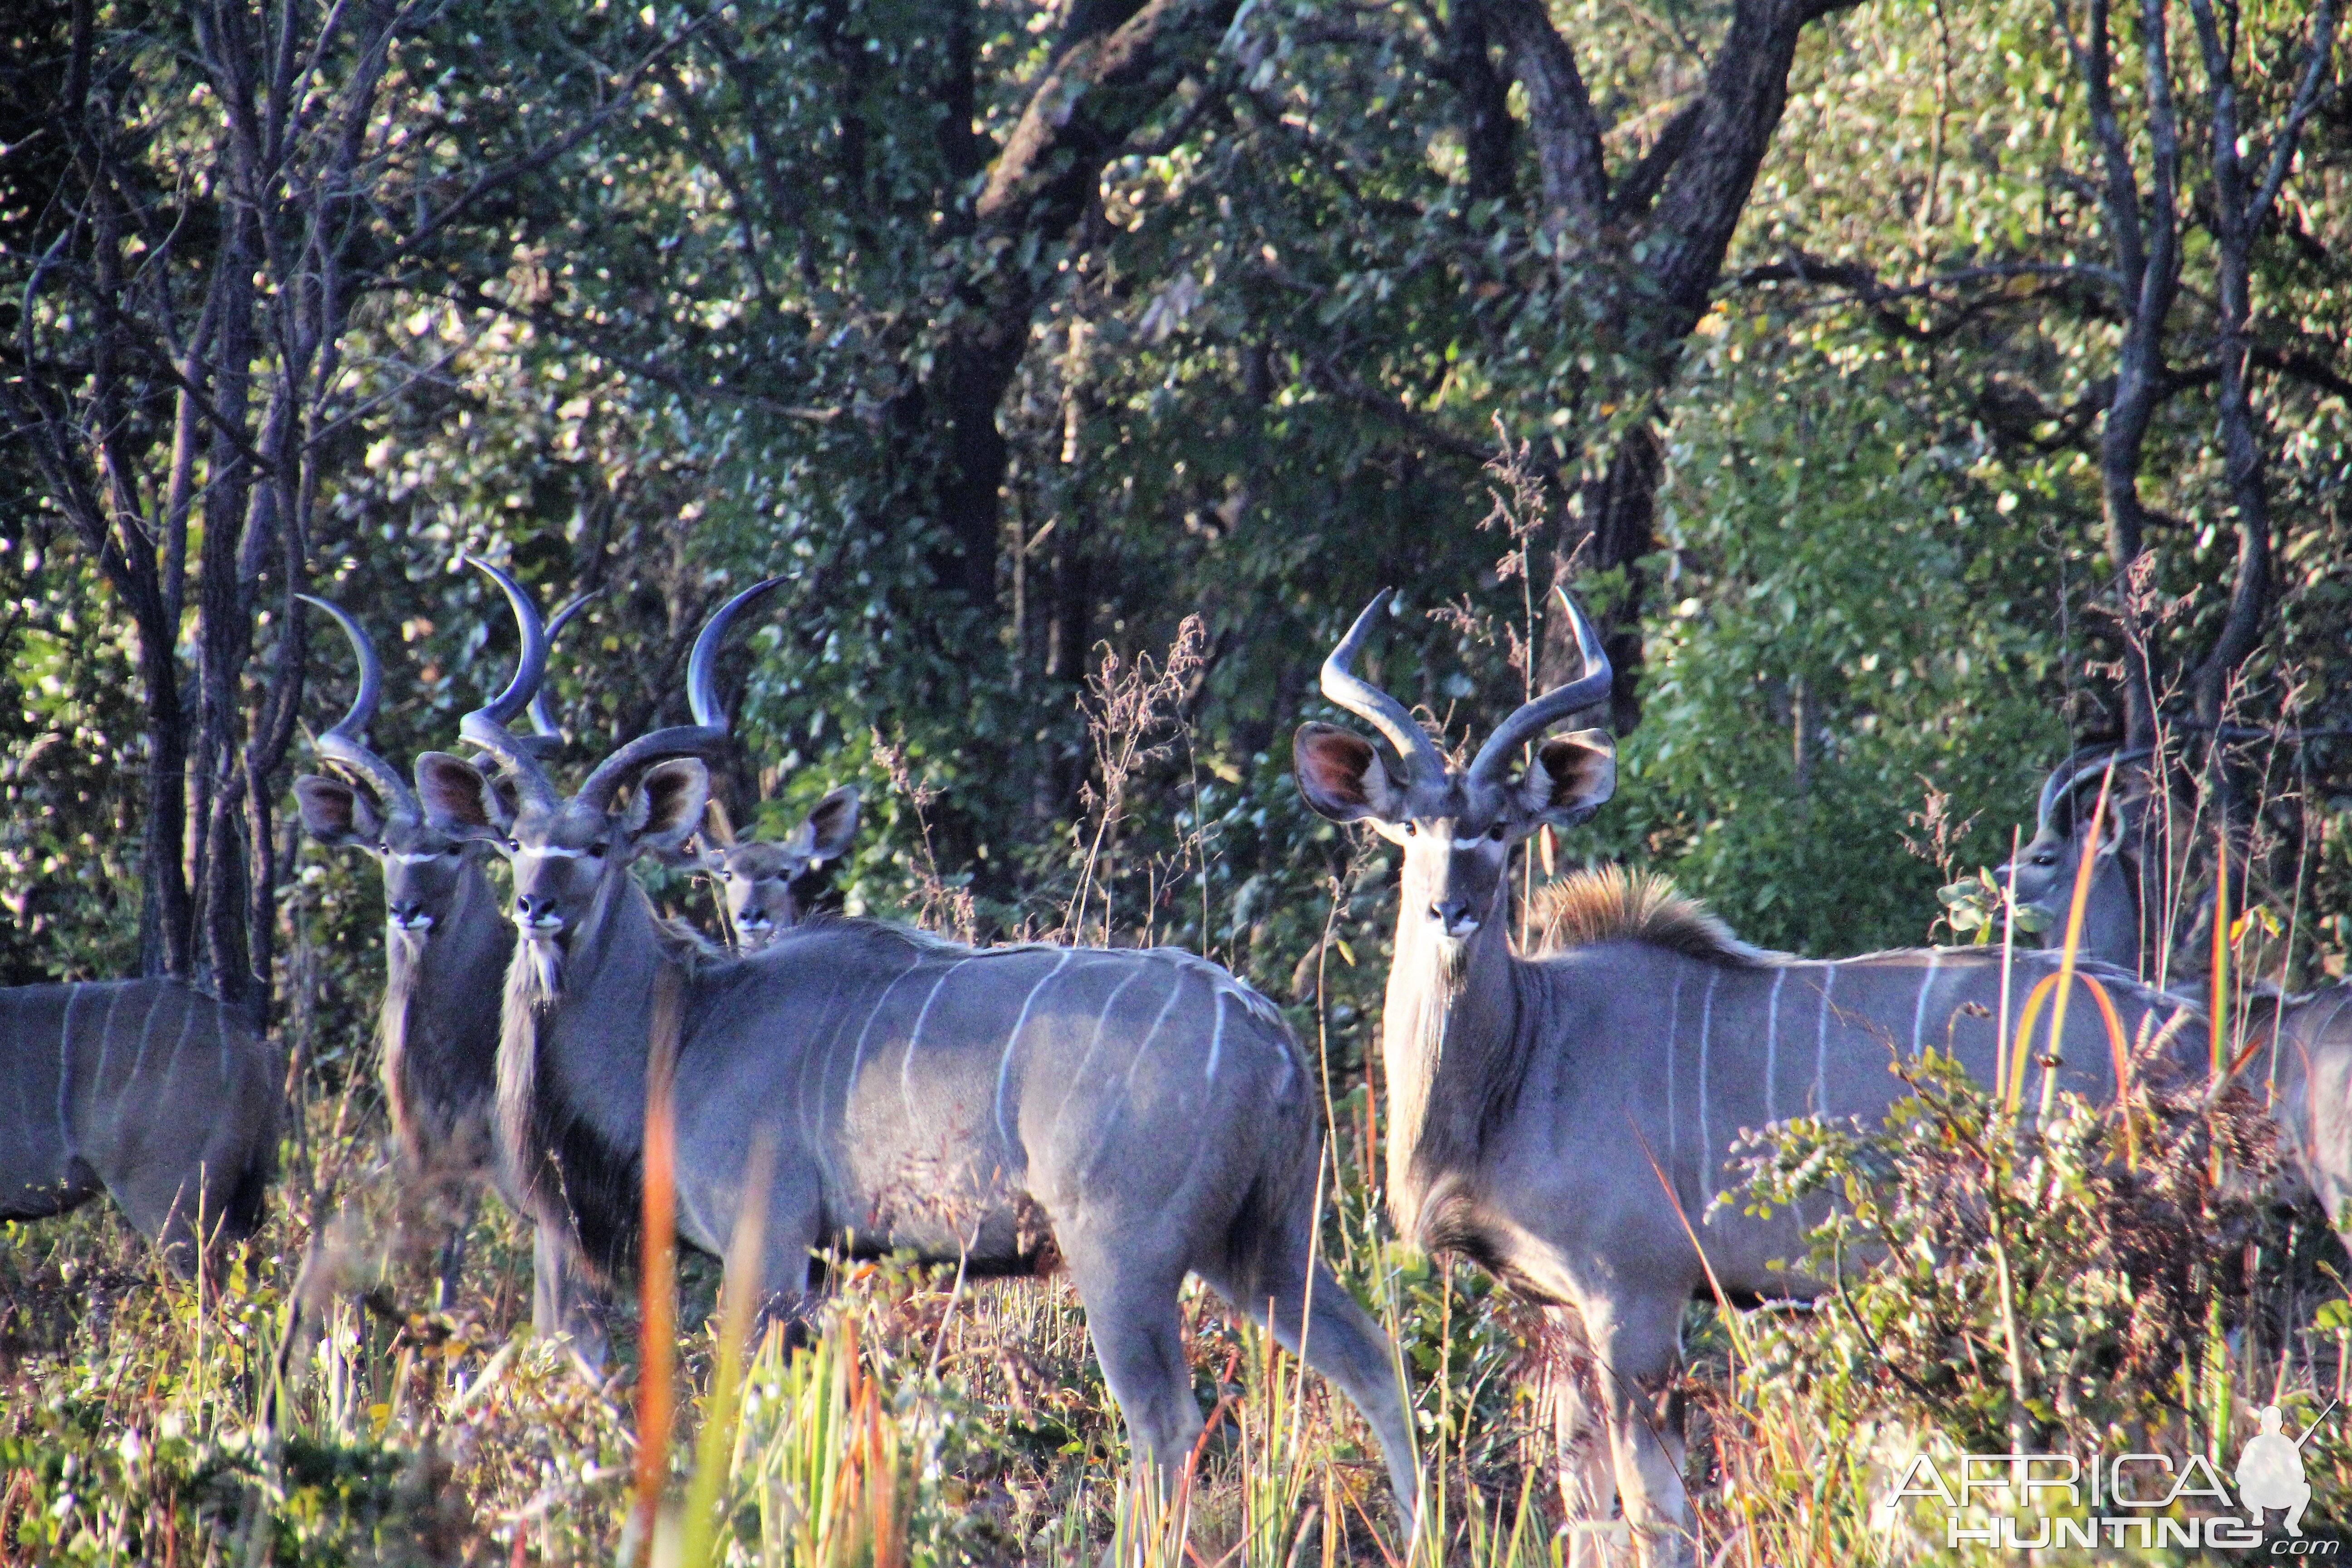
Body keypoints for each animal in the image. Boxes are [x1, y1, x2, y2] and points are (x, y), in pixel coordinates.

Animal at [409, 580, 1411, 1504]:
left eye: (599, 846)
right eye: (514, 841)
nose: (536, 906)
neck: (688, 1023)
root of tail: (1269, 1037)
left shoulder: (766, 1252)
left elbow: (757, 1424)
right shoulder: (822, 1267)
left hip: (1123, 1258)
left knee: (1165, 1424)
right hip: (1266, 1240)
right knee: (1375, 1366)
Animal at [1298, 592, 2210, 1568]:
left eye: (1502, 830)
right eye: (1408, 827)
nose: (1451, 910)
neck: (1526, 1051)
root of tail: (2174, 1022)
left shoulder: (1637, 1299)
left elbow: (1654, 1513)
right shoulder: (1561, 1312)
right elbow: (1585, 1506)